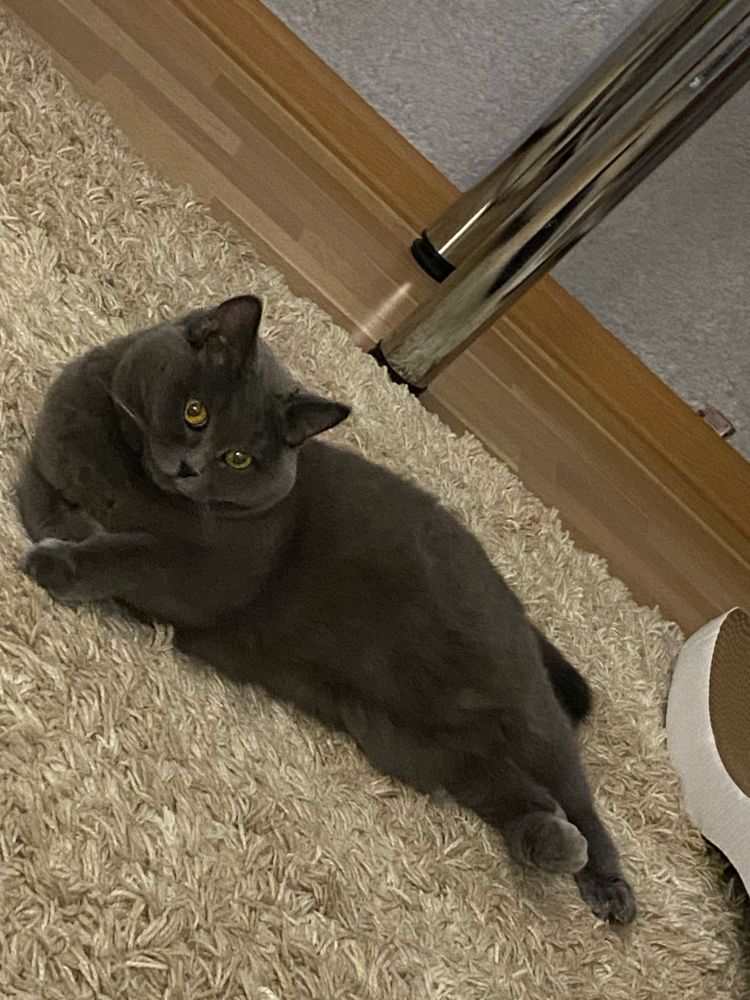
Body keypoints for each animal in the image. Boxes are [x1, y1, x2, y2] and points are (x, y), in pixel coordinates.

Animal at [18, 294, 636, 924]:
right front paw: (73, 525)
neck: (130, 475)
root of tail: (517, 607)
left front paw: (63, 561)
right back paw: (552, 843)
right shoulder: (48, 451)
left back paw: (606, 884)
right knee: (514, 790)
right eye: (195, 412)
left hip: (520, 711)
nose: (189, 467)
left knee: (575, 793)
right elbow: (40, 500)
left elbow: (127, 556)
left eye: (237, 458)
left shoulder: (208, 574)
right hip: (408, 744)